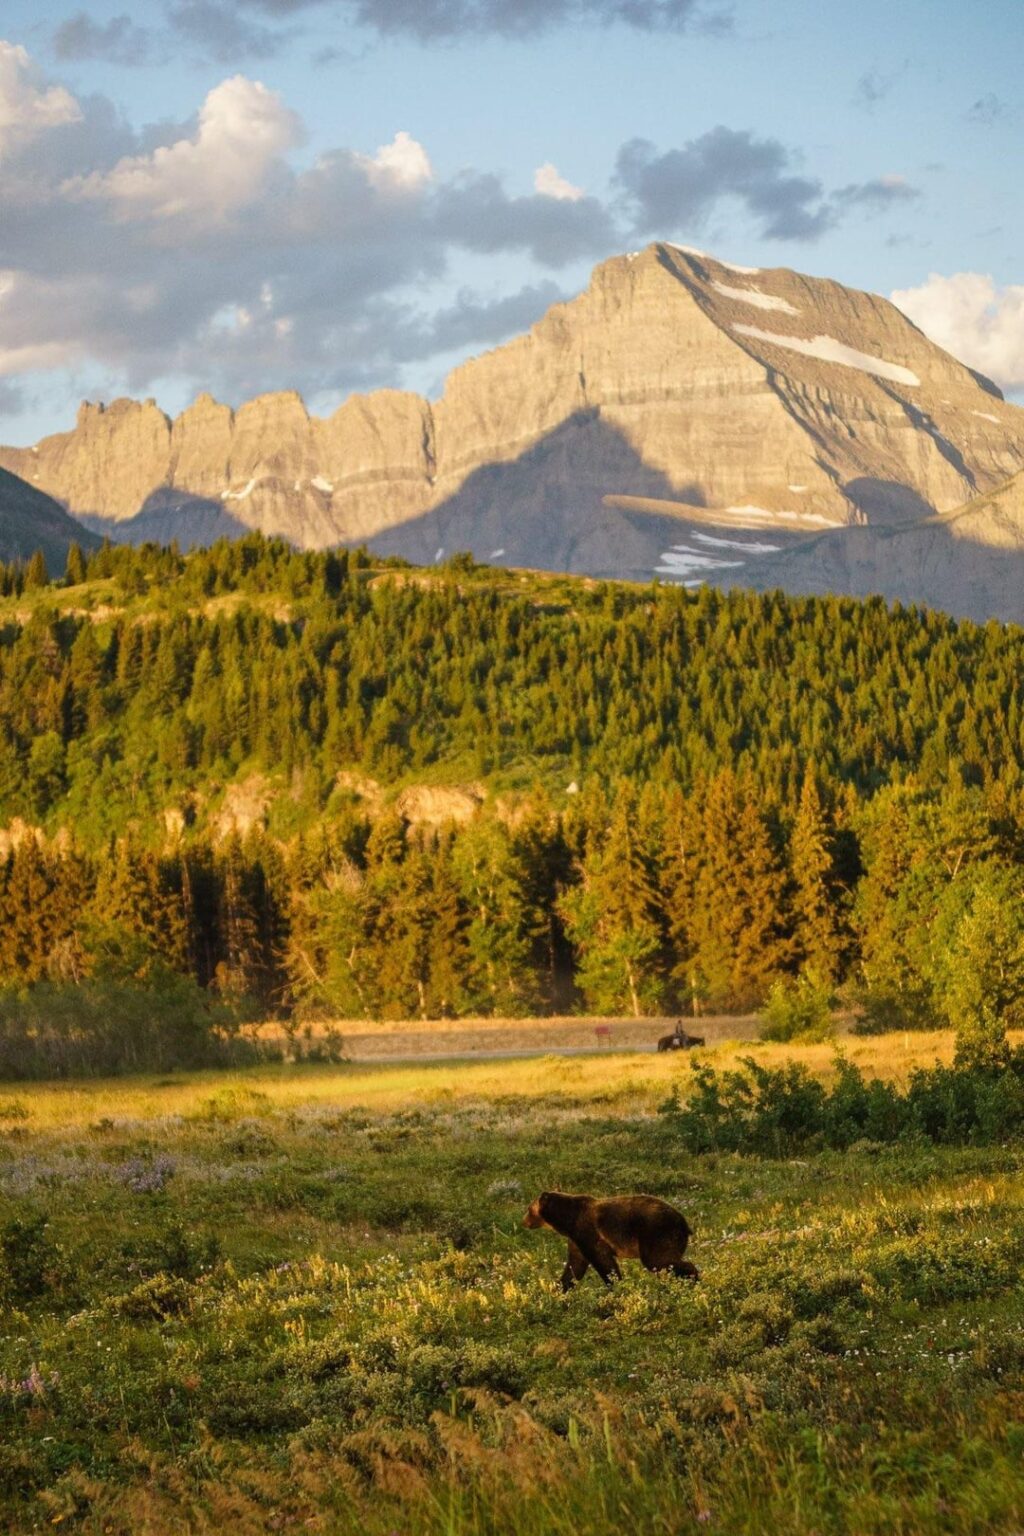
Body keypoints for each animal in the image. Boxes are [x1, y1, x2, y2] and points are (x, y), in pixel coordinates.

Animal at [523, 1190, 699, 1290]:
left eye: (529, 1209)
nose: (523, 1221)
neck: (567, 1220)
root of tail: (683, 1221)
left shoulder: (588, 1231)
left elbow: (603, 1261)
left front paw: (615, 1285)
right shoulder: (575, 1239)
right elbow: (575, 1265)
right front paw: (558, 1289)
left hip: (656, 1232)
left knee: (657, 1260)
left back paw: (693, 1279)